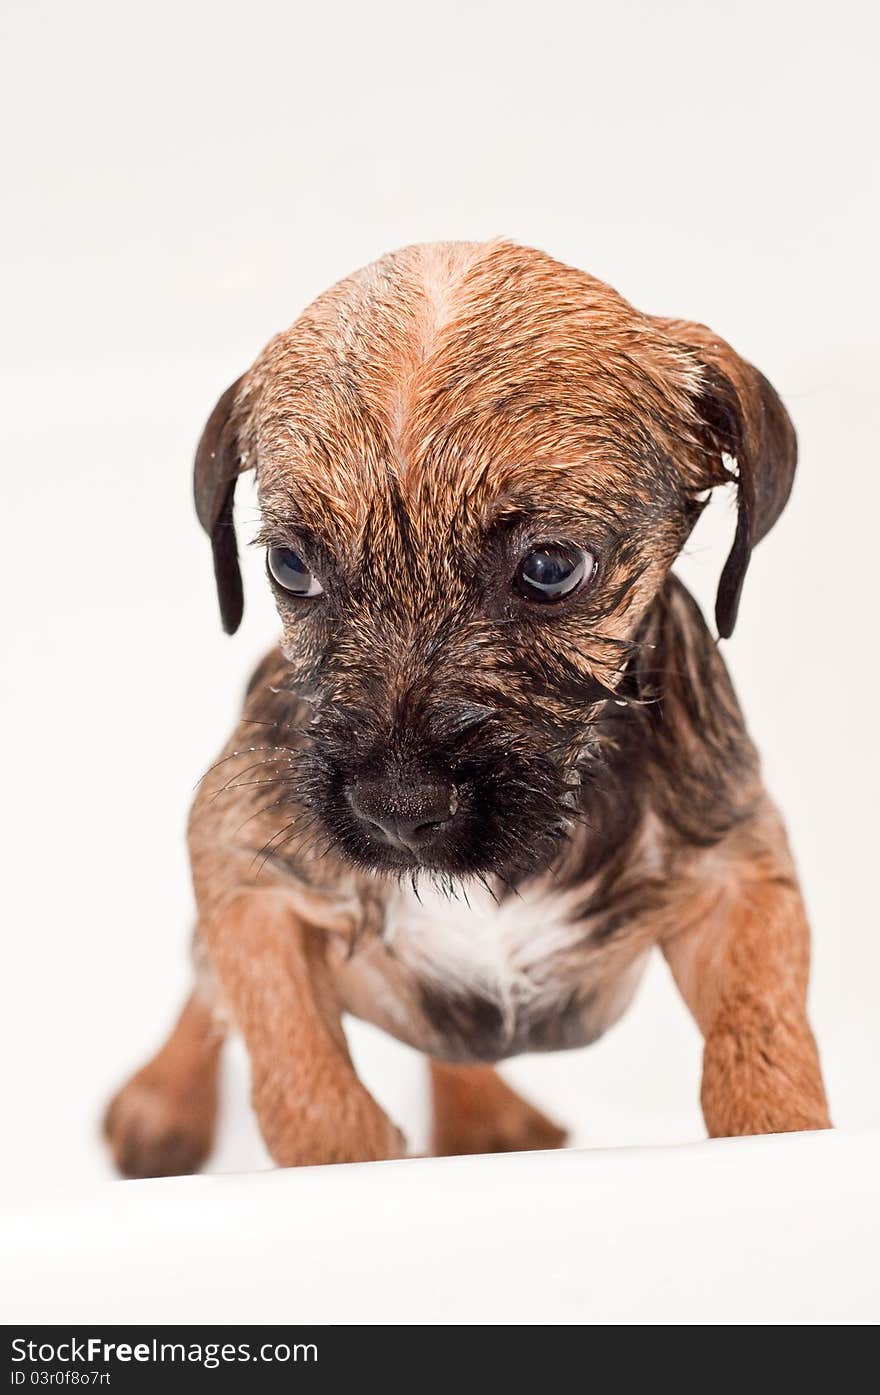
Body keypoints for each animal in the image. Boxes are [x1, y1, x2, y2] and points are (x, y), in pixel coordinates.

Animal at [105, 242, 831, 1177]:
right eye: (291, 567)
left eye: (552, 567)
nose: (397, 807)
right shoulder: (243, 866)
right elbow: (299, 1070)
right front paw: (338, 1145)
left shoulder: (737, 874)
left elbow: (761, 1040)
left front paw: (781, 1129)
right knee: (205, 986)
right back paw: (163, 1101)